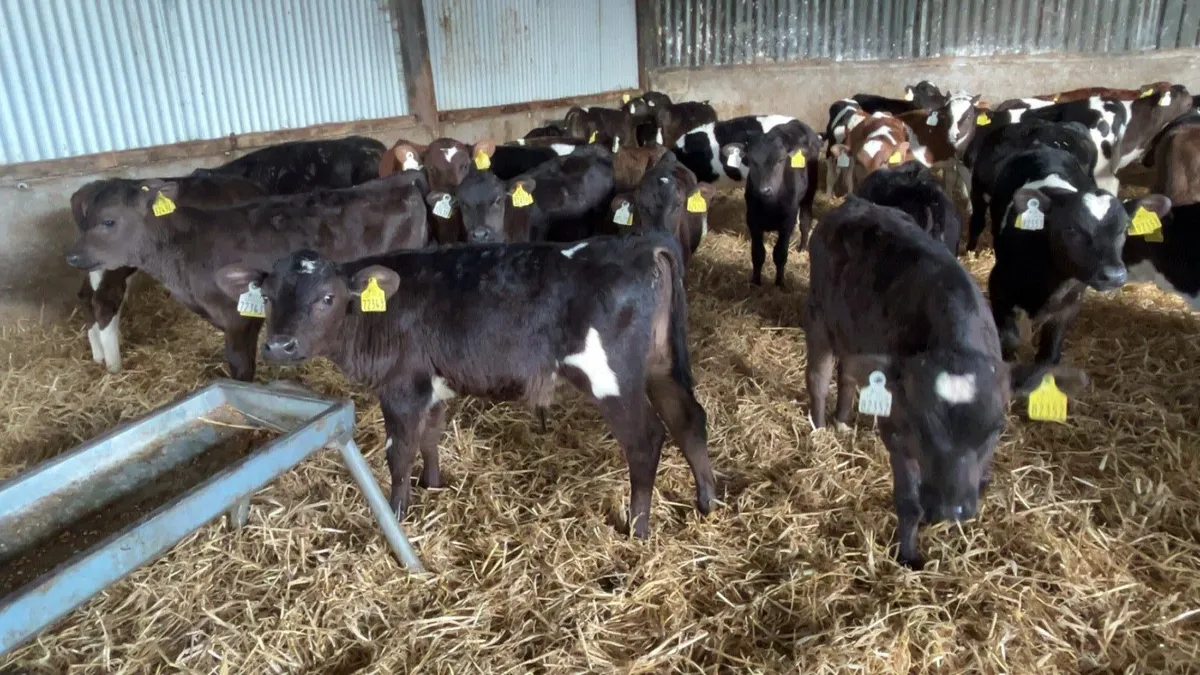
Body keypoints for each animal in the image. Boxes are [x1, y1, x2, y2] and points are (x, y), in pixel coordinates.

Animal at [215, 237, 717, 539]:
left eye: (327, 297)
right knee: (689, 419)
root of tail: (642, 245)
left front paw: (399, 511)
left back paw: (638, 528)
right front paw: (434, 484)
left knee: (646, 440)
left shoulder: (402, 387)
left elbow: (399, 451)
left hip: (611, 379)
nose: (279, 345)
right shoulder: (435, 385)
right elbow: (431, 437)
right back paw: (707, 502)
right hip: (660, 365)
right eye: (268, 296)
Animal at [721, 119, 821, 286]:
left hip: (810, 191)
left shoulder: (788, 220)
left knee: (805, 220)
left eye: (781, 160)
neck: (769, 206)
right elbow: (758, 253)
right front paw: (755, 281)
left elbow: (780, 253)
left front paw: (779, 282)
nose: (765, 189)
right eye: (752, 160)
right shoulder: (752, 219)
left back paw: (802, 248)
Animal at [805, 196, 1087, 569]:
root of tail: (854, 203)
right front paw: (908, 554)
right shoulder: (897, 431)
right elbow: (908, 500)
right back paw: (820, 428)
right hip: (819, 317)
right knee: (819, 375)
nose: (950, 509)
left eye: (996, 430)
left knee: (849, 372)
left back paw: (841, 421)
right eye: (920, 428)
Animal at [986, 146, 1169, 366]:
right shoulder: (998, 286)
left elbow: (1049, 356)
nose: (1114, 275)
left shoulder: (1069, 306)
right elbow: (1009, 340)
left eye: (1124, 228)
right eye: (1071, 228)